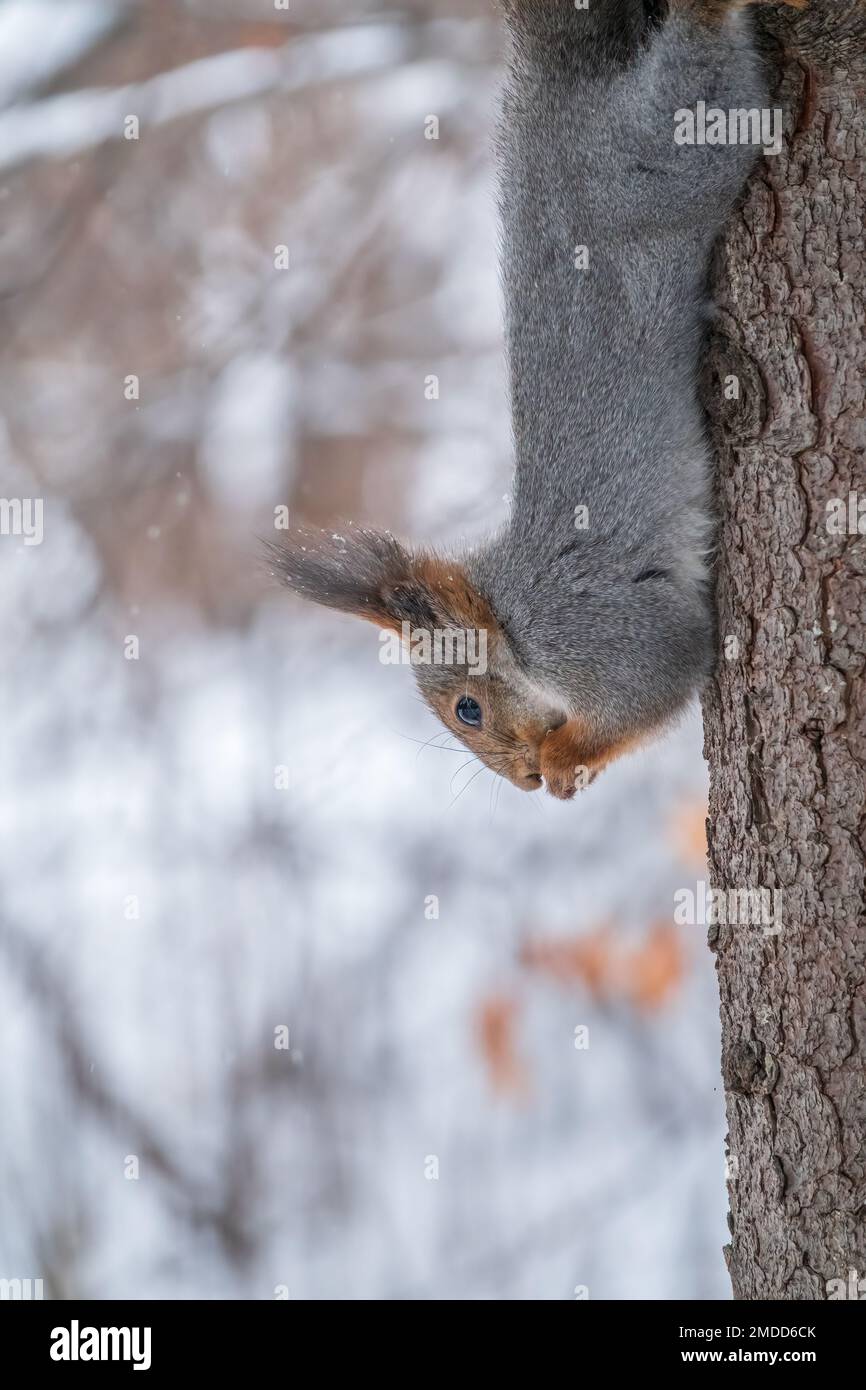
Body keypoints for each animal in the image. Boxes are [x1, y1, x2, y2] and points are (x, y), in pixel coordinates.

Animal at [269, 0, 803, 800]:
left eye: (467, 708)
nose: (520, 782)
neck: (512, 619)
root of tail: (558, 97)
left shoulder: (594, 630)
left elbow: (658, 679)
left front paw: (564, 760)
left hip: (668, 158)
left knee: (698, 72)